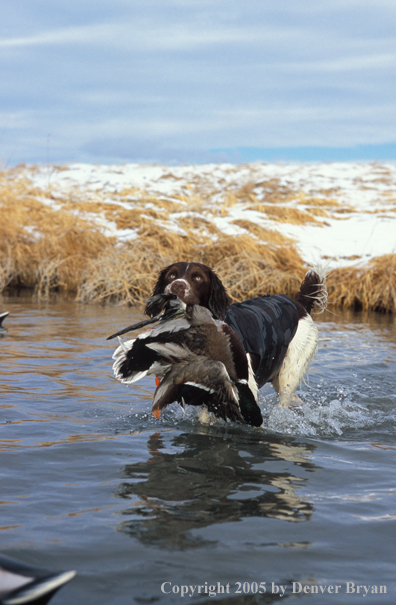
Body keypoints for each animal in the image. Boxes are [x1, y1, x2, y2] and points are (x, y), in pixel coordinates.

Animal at [146, 260, 328, 406]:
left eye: (197, 278)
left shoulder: (246, 385)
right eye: (172, 275)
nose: (177, 285)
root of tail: (299, 305)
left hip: (289, 371)